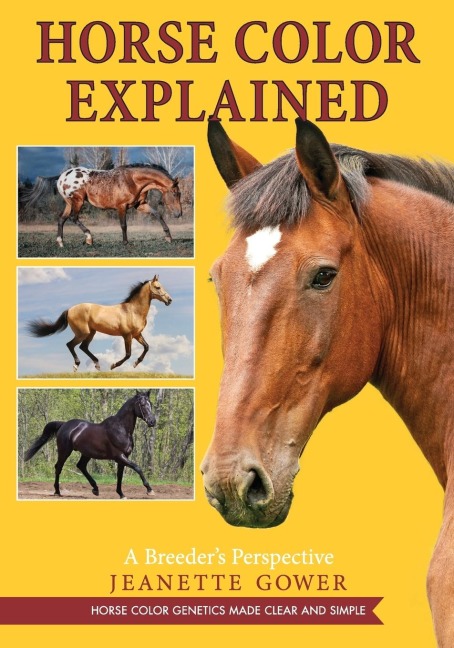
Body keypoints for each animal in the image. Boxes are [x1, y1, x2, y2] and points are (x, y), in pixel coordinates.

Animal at [24, 391, 156, 499]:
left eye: (151, 404)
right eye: (142, 404)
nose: (152, 422)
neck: (121, 429)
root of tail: (64, 424)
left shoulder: (123, 458)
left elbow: (120, 476)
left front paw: (121, 494)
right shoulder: (119, 456)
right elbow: (137, 468)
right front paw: (149, 490)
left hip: (86, 453)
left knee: (81, 466)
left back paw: (95, 489)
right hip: (64, 451)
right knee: (58, 467)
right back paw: (57, 491)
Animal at [25, 163, 182, 247]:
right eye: (175, 193)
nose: (178, 214)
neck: (132, 180)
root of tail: (62, 176)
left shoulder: (140, 205)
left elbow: (157, 214)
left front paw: (168, 237)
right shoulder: (121, 206)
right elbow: (123, 225)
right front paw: (125, 242)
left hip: (69, 203)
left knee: (61, 219)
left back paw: (61, 243)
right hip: (78, 201)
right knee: (73, 218)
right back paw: (89, 238)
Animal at [27, 276, 172, 371]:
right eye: (158, 287)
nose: (169, 300)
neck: (133, 311)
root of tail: (70, 310)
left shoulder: (137, 334)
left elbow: (146, 347)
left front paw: (136, 363)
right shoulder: (127, 335)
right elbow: (128, 354)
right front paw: (113, 366)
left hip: (91, 333)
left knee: (83, 347)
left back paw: (97, 364)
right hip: (83, 333)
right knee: (71, 345)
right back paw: (76, 365)